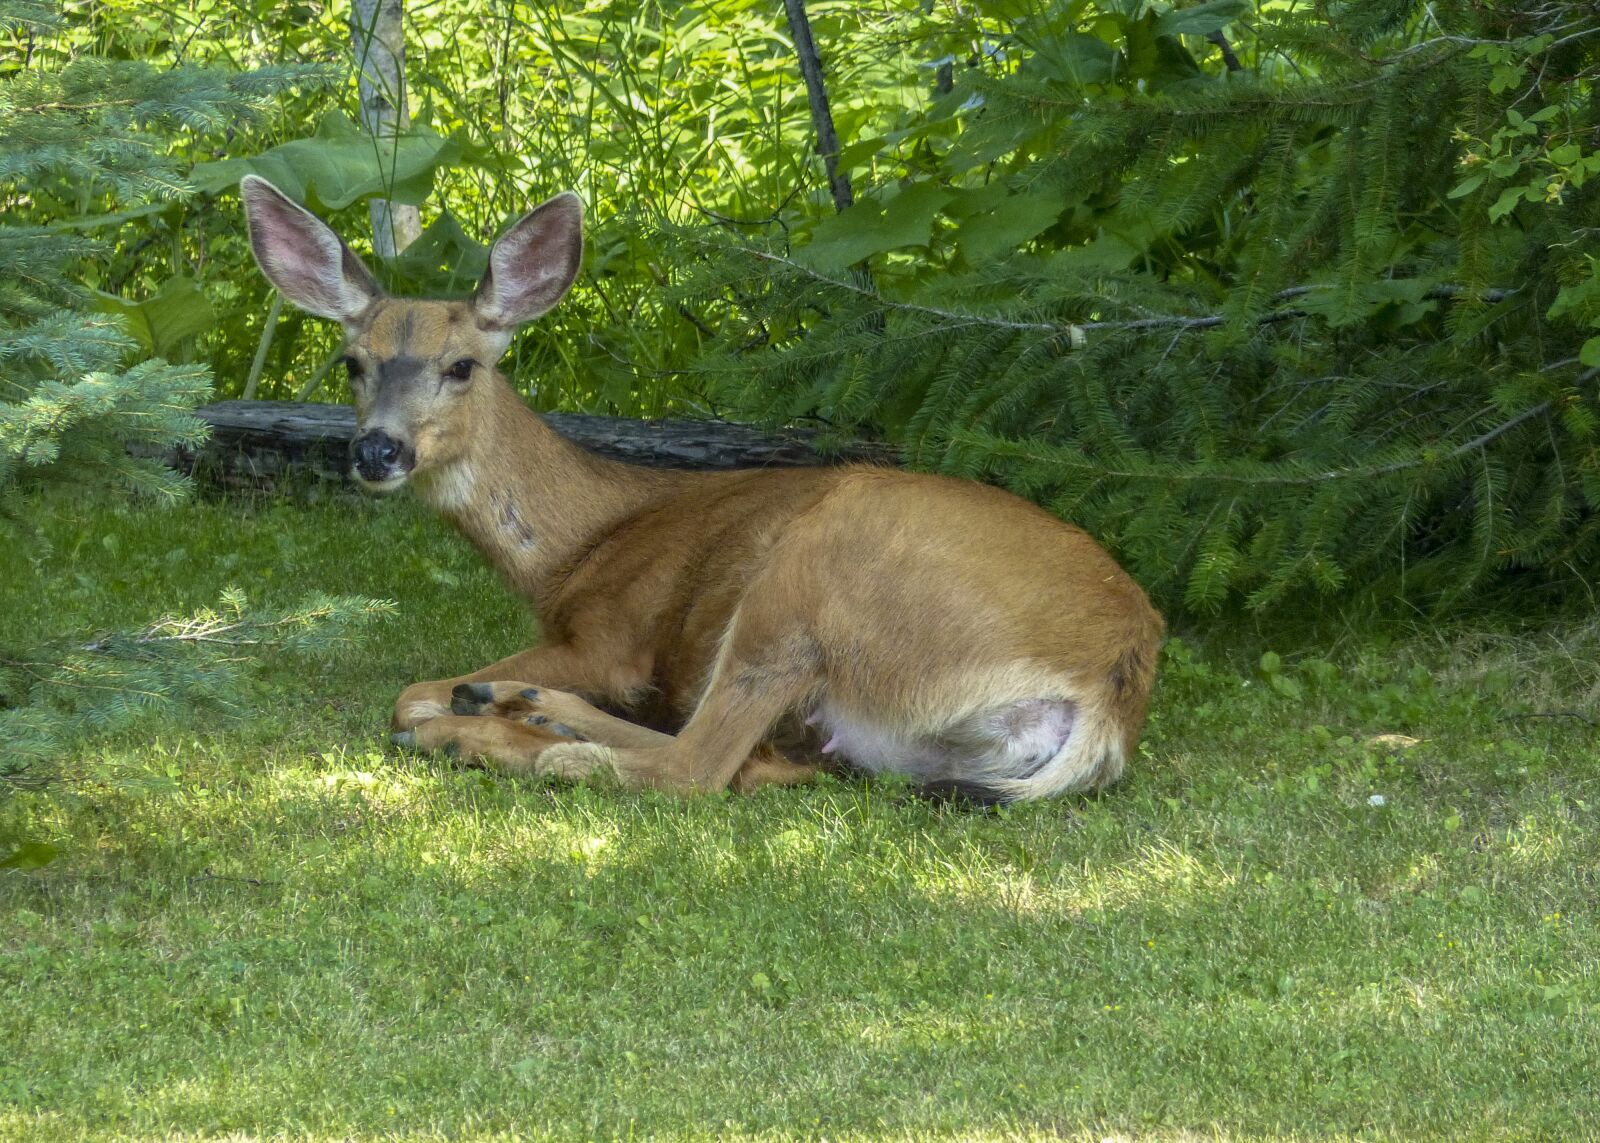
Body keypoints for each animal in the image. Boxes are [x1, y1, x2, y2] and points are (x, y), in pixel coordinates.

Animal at [240, 175, 1164, 802]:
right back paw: (516, 705)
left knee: (700, 764)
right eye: (352, 363)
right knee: (760, 759)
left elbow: (405, 695)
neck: (585, 541)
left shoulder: (608, 635)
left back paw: (507, 731)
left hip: (818, 573)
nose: (377, 450)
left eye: (461, 365)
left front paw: (465, 711)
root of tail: (1109, 690)